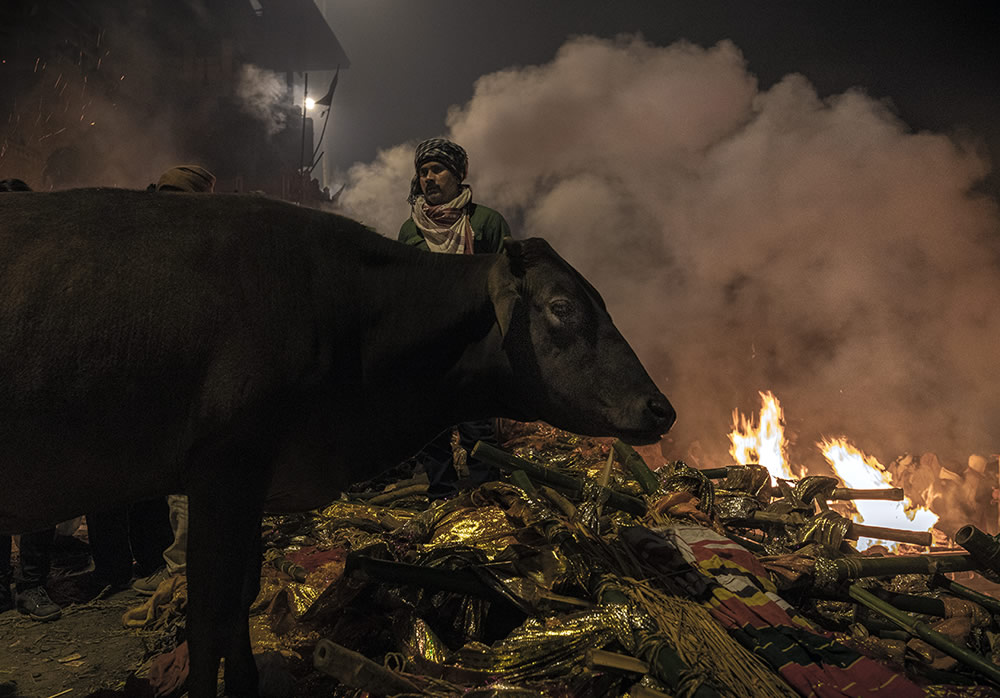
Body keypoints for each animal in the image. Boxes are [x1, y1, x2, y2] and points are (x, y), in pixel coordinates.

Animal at [0, 188, 676, 692]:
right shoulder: (224, 471)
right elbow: (209, 615)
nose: (662, 407)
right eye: (561, 307)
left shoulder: (255, 486)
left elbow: (239, 602)